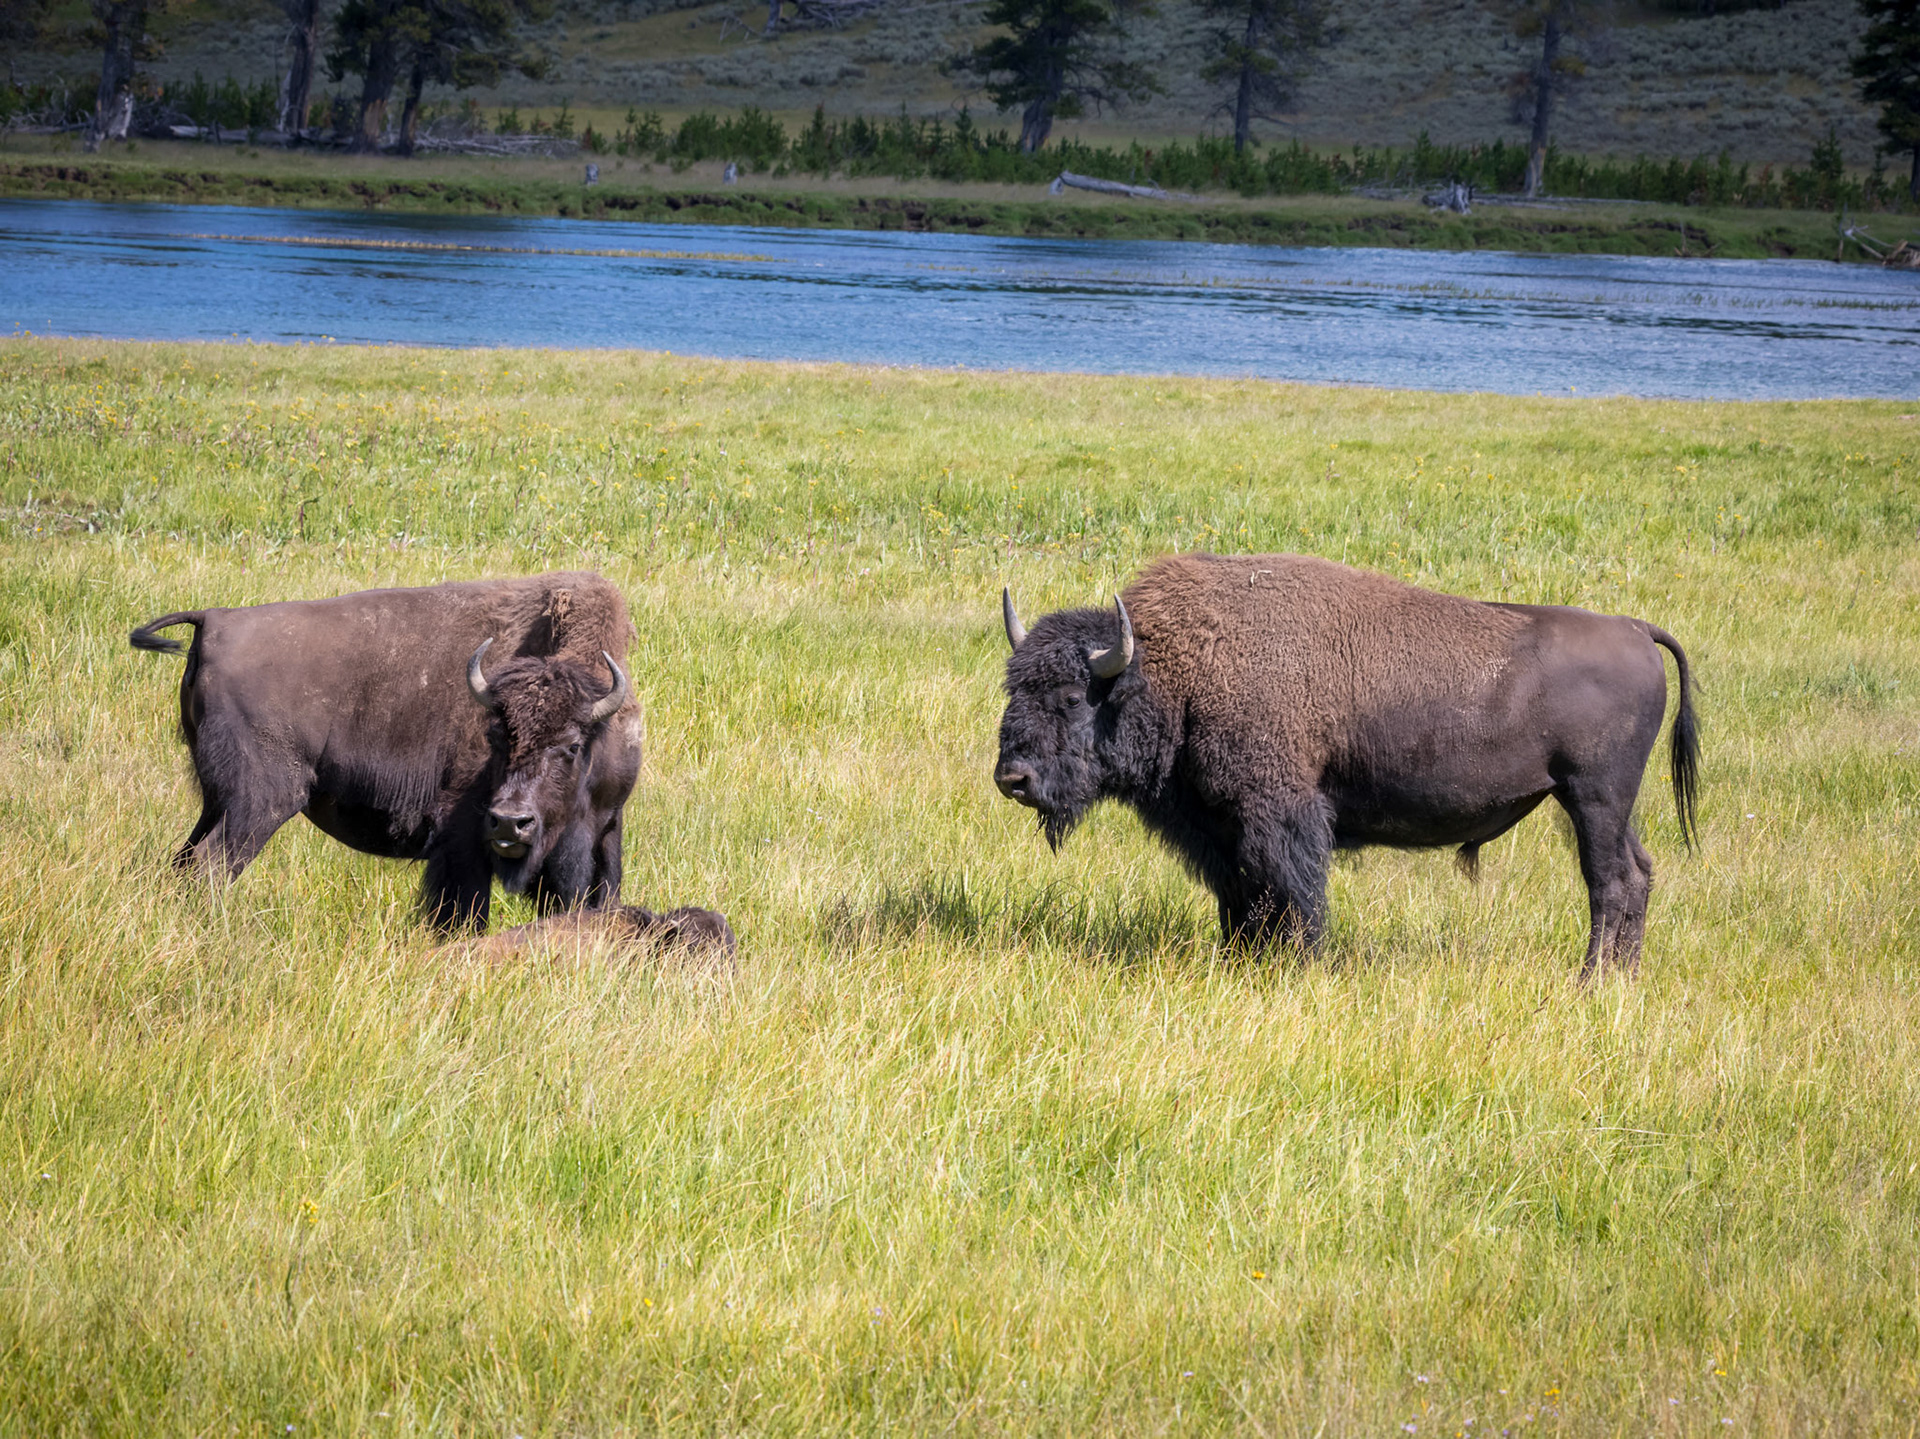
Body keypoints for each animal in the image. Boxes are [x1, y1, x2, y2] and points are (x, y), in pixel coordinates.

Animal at [130, 571, 644, 934]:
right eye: (496, 735)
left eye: (572, 746)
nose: (509, 823)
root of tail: (215, 621)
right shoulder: (462, 837)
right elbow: (462, 912)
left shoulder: (605, 831)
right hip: (261, 802)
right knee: (210, 865)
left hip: (217, 799)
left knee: (185, 860)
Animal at [994, 553, 1700, 978]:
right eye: (1013, 687)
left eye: (1070, 697)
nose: (1012, 779)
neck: (1176, 669)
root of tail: (1635, 629)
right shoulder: (1218, 830)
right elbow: (1237, 898)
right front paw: (1239, 963)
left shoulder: (1279, 815)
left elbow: (1291, 894)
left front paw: (1297, 966)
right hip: (1604, 806)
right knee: (1637, 874)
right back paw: (1619, 979)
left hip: (1593, 799)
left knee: (1608, 882)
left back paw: (1591, 982)